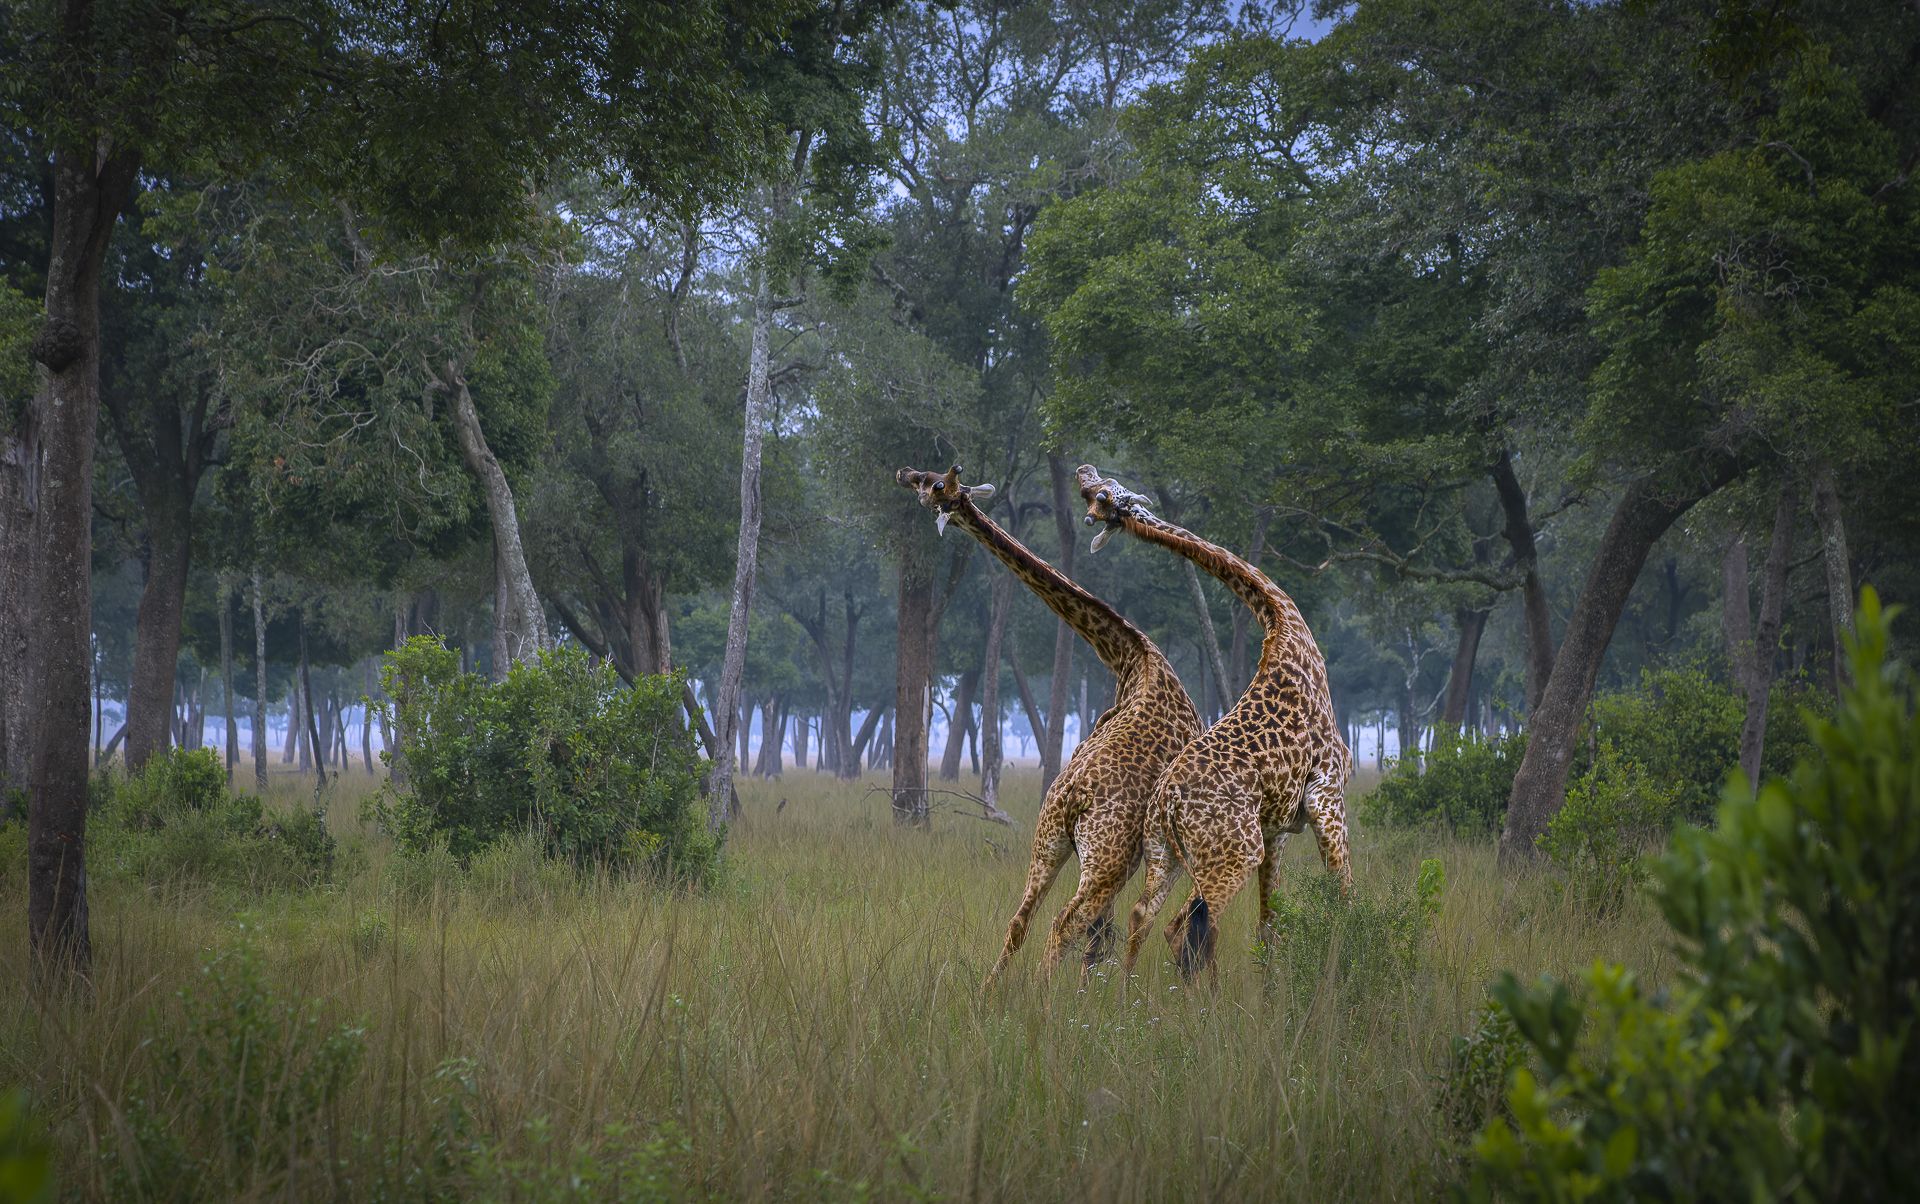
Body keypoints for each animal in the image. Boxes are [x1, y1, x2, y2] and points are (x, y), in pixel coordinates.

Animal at [894, 466, 1198, 983]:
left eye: (932, 485)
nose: (904, 472)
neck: (1132, 658)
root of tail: (1077, 796)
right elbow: (1098, 935)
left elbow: (1094, 937)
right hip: (1105, 860)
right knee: (1065, 924)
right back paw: (1042, 996)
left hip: (1052, 841)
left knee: (1025, 920)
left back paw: (993, 990)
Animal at [1082, 460, 1351, 979]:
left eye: (1104, 493)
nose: (1089, 512)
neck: (1283, 621)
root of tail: (1166, 804)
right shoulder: (1328, 795)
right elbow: (1347, 899)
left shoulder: (1279, 826)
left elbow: (1269, 924)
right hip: (1233, 852)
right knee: (1188, 927)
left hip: (1167, 852)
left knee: (1147, 917)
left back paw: (1127, 993)